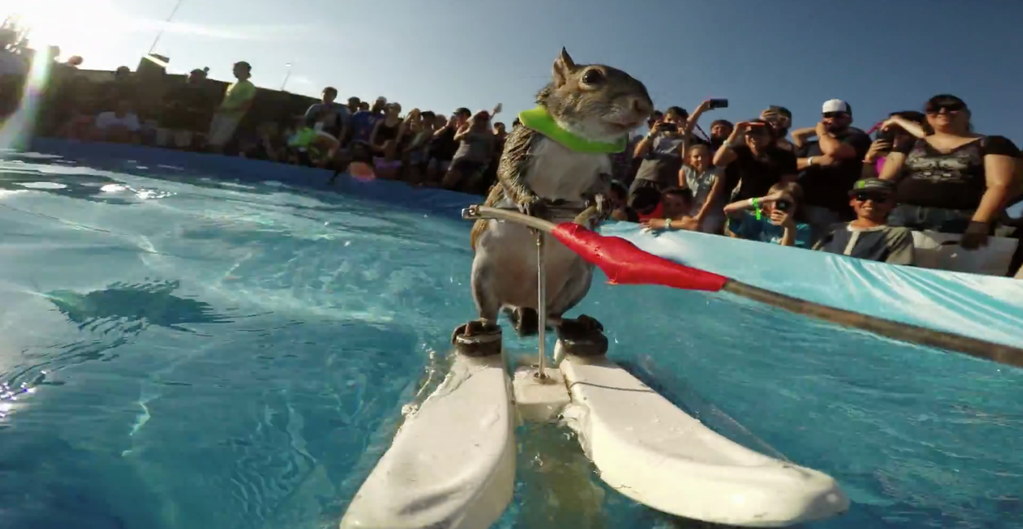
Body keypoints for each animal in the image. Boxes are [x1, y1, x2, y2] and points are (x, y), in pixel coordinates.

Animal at [454, 48, 653, 347]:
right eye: (591, 77)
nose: (645, 107)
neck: (577, 139)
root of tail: (524, 302)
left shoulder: (603, 167)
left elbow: (600, 186)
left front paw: (601, 202)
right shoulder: (524, 141)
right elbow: (508, 171)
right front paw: (530, 203)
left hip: (577, 282)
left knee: (551, 317)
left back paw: (577, 325)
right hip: (483, 275)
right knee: (490, 314)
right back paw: (479, 326)